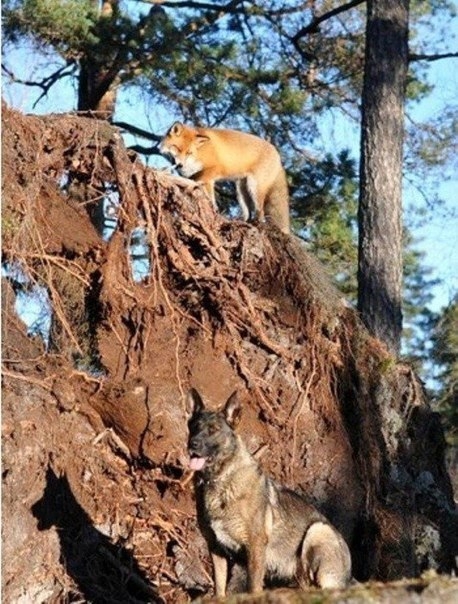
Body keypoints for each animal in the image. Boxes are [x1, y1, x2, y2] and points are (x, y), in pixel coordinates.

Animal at [159, 121, 292, 235]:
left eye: (188, 153)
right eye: (176, 148)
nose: (180, 165)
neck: (199, 152)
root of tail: (278, 155)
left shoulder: (215, 168)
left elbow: (197, 182)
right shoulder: (207, 181)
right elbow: (208, 198)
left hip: (254, 188)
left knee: (261, 212)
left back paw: (258, 224)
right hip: (241, 191)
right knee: (249, 212)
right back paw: (244, 223)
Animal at [186, 390, 350, 596]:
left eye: (213, 430)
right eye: (194, 427)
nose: (193, 444)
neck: (220, 479)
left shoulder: (255, 546)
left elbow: (253, 587)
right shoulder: (216, 549)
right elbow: (220, 588)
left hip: (318, 530)